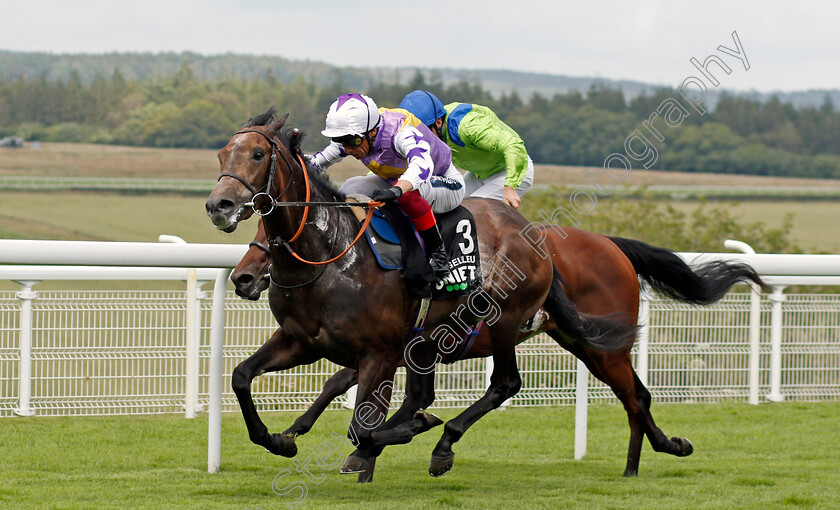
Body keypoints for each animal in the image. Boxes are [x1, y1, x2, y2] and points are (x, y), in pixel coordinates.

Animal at [207, 108, 640, 478]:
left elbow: (361, 427)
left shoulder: (379, 355)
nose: (218, 205)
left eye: (258, 153)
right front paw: (279, 440)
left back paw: (443, 444)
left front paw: (391, 439)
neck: (329, 257)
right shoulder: (301, 341)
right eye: (222, 154)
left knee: (506, 384)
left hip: (505, 319)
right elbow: (241, 376)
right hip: (433, 339)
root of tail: (535, 235)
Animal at [230, 208, 768, 478]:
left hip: (587, 342)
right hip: (583, 341)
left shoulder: (388, 348)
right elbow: (344, 391)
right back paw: (659, 450)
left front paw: (368, 448)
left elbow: (370, 407)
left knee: (602, 392)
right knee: (638, 393)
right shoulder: (389, 348)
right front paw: (294, 433)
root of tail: (611, 245)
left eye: (274, 238)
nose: (243, 277)